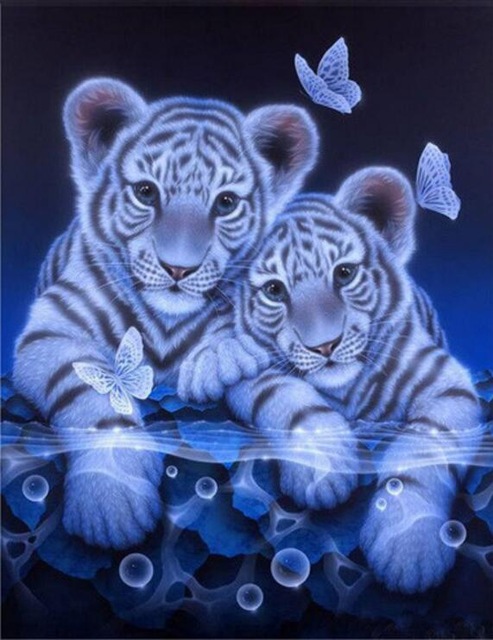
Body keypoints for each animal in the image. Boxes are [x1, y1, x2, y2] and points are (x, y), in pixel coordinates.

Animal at [13, 77, 319, 549]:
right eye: (146, 192)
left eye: (226, 202)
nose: (178, 268)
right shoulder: (50, 332)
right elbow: (91, 390)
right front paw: (110, 501)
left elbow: (280, 388)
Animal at [177, 166, 481, 593]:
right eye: (274, 290)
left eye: (344, 273)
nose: (325, 345)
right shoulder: (259, 377)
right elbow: (290, 399)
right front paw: (324, 470)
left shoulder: (446, 383)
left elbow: (425, 448)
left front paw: (408, 550)